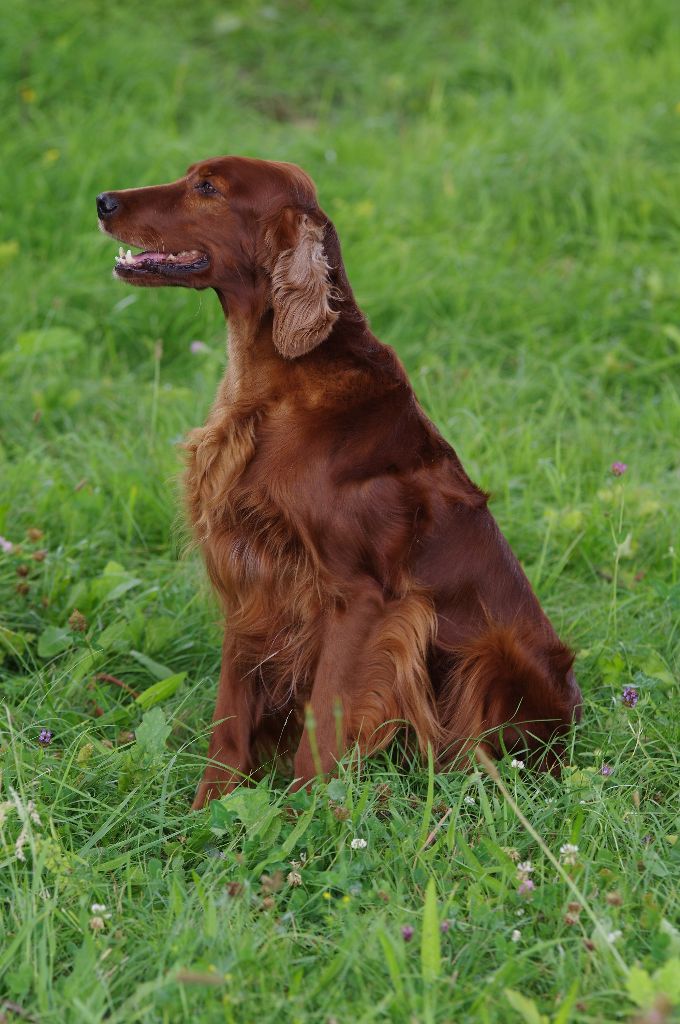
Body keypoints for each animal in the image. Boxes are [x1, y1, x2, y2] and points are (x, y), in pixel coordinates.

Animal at [95, 155, 581, 806]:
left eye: (207, 187)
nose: (103, 201)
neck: (276, 389)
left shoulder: (363, 598)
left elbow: (322, 726)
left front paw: (306, 816)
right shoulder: (250, 575)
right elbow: (229, 718)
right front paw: (209, 810)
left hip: (491, 654)